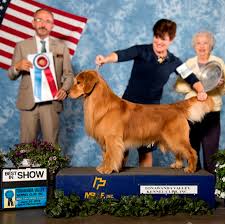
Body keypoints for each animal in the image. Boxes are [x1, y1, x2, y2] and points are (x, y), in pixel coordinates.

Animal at [69, 69, 214, 174]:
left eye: (78, 82)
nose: (68, 92)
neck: (101, 102)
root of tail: (175, 106)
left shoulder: (112, 139)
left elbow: (110, 155)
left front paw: (107, 169)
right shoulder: (105, 141)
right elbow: (106, 156)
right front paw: (103, 167)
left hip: (176, 137)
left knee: (191, 152)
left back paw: (190, 169)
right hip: (170, 139)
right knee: (179, 152)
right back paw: (177, 165)